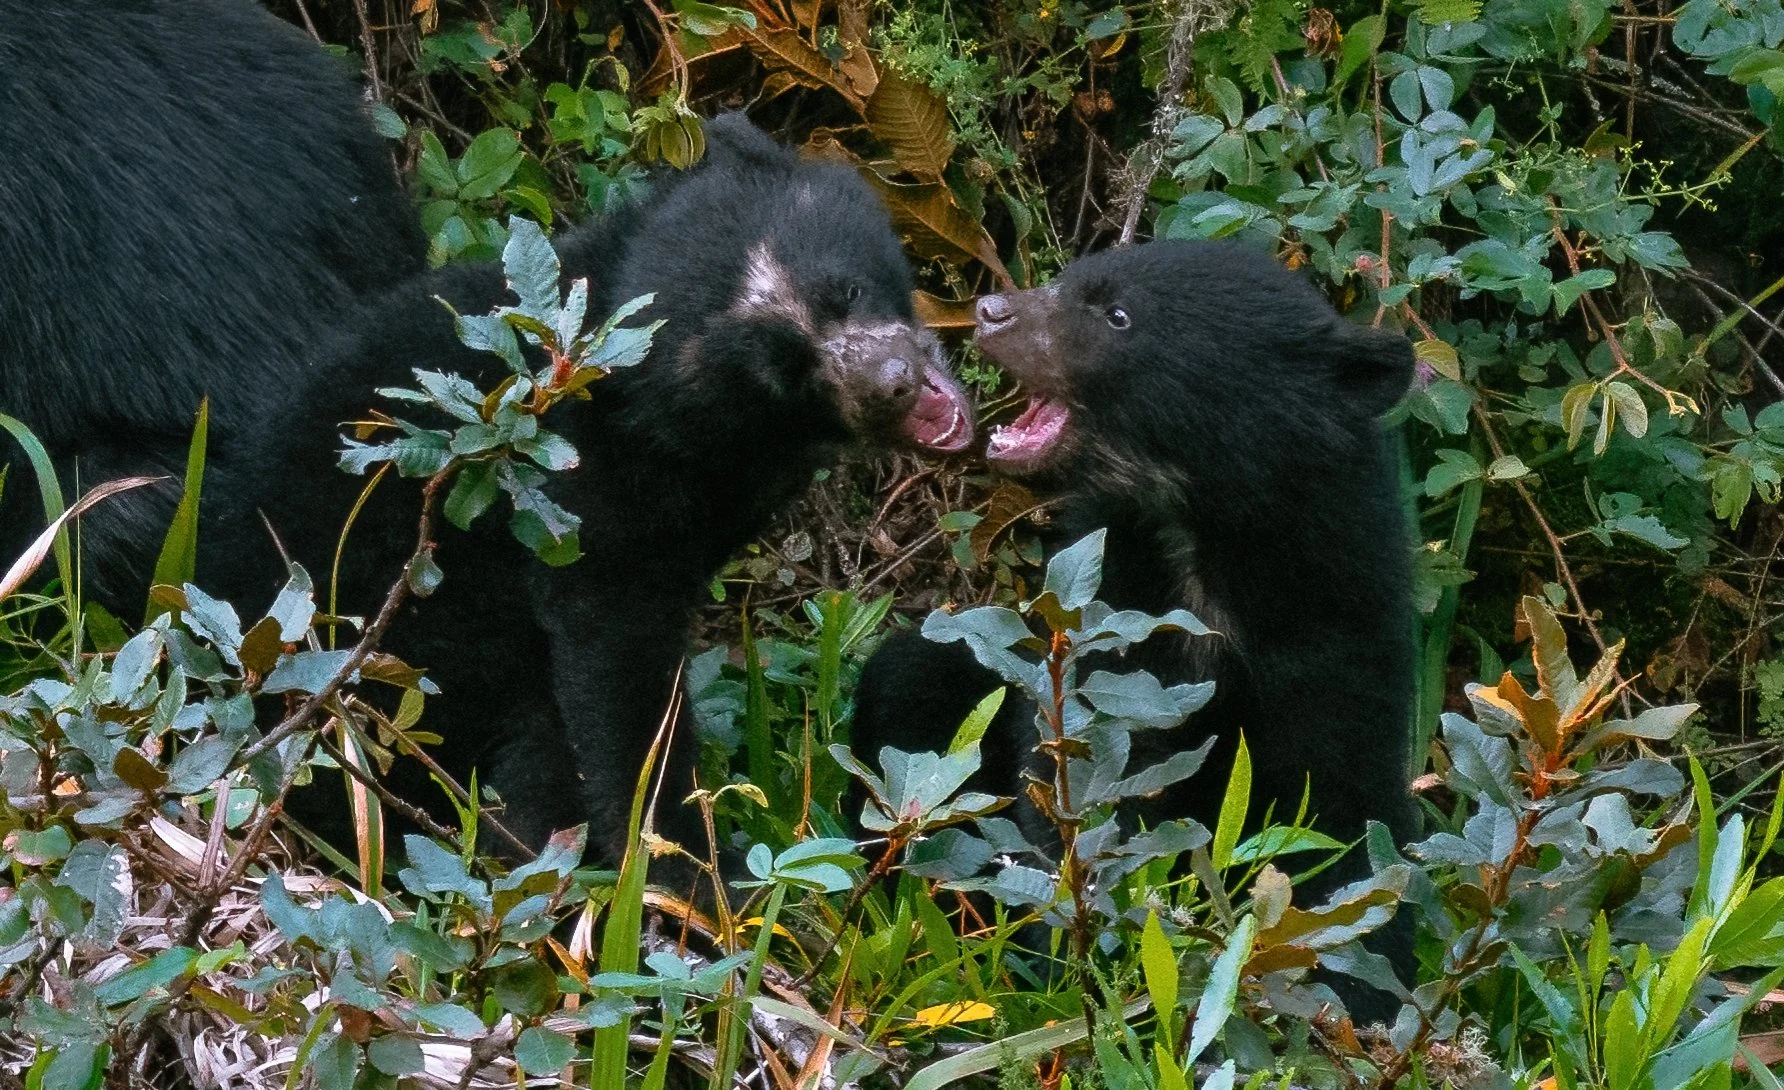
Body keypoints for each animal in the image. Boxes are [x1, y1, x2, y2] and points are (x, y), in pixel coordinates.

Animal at [195, 115, 976, 879]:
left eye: (844, 290)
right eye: (787, 371)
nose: (894, 383)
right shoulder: (588, 498)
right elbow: (616, 661)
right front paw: (686, 864)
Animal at [851, 240, 1418, 1014]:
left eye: (1117, 315)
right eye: (1072, 278)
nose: (991, 311)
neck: (1203, 546)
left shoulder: (1341, 630)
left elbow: (1342, 816)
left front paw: (1361, 991)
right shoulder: (1112, 619)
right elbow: (1080, 779)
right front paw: (1077, 966)